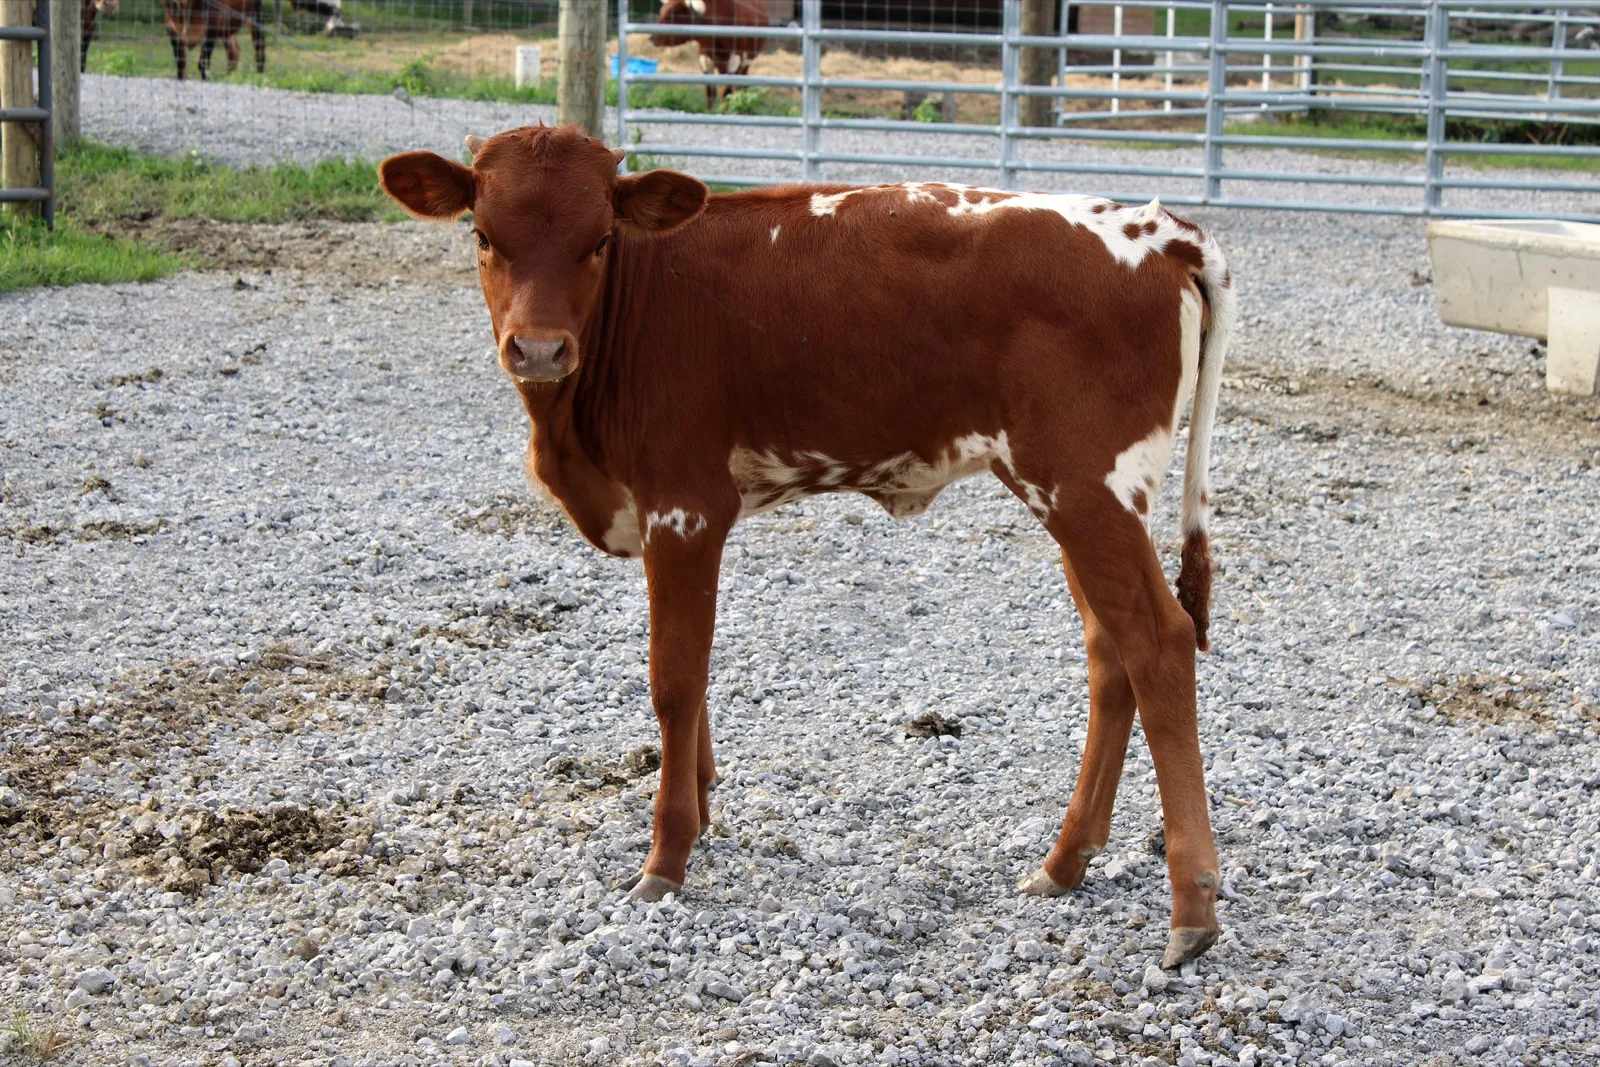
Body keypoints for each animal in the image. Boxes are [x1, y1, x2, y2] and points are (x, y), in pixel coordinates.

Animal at [377, 125, 1237, 969]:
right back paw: (1063, 862)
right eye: (483, 235)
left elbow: (674, 679)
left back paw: (1191, 905)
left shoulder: (685, 506)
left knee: (1157, 642)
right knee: (1110, 654)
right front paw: (701, 808)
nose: (539, 350)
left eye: (598, 241)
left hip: (1089, 487)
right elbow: (695, 675)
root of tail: (1157, 229)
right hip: (1067, 494)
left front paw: (667, 856)